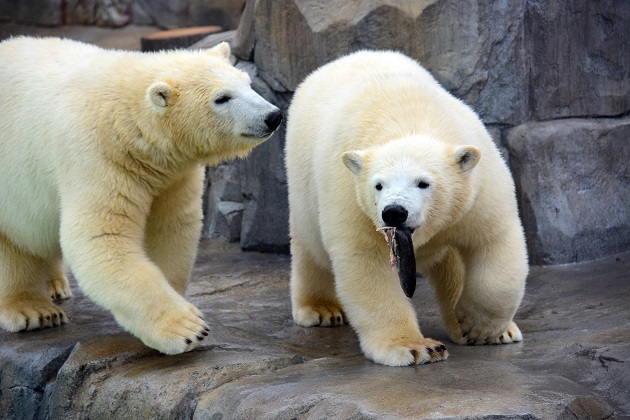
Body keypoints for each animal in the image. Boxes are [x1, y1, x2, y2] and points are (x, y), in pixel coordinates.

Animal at [0, 37, 282, 354]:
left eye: (247, 83)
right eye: (222, 98)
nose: (273, 116)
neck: (126, 116)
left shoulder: (172, 174)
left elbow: (171, 229)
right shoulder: (98, 156)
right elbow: (103, 237)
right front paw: (188, 329)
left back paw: (54, 285)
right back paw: (35, 310)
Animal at [288, 49, 532, 366]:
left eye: (423, 183)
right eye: (379, 185)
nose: (394, 212)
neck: (408, 119)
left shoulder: (477, 190)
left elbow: (493, 242)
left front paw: (479, 328)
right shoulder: (351, 197)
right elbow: (368, 264)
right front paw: (417, 347)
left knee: (452, 260)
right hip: (302, 183)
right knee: (310, 248)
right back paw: (322, 310)